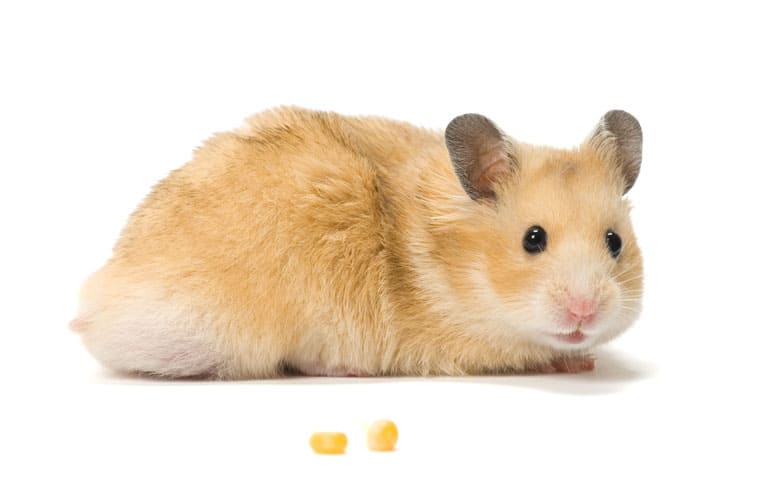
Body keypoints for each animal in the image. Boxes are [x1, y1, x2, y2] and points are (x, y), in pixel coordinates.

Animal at [72, 106, 644, 378]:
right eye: (533, 239)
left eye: (615, 242)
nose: (585, 313)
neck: (460, 269)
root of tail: (100, 307)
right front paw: (572, 362)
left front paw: (585, 360)